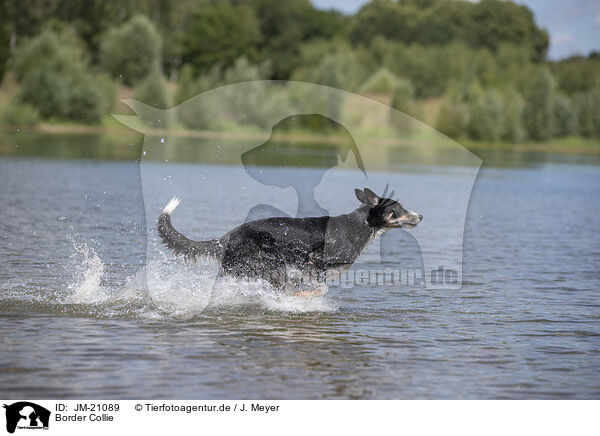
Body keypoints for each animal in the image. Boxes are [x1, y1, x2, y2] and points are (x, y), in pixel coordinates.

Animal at [159, 187, 422, 296]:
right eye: (398, 210)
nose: (420, 216)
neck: (361, 224)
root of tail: (224, 240)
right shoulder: (312, 262)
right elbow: (318, 288)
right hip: (269, 265)